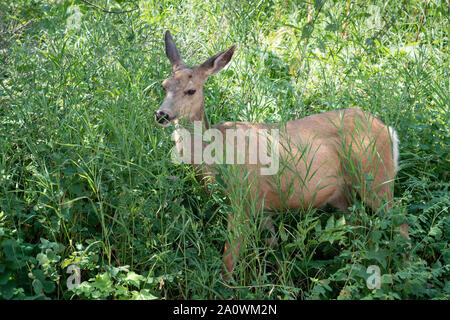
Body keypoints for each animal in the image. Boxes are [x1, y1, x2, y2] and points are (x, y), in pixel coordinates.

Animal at [156, 31, 408, 278]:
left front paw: (226, 285)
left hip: (376, 177)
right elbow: (273, 245)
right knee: (359, 224)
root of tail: (388, 130)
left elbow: (229, 259)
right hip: (342, 192)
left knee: (400, 222)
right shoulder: (263, 206)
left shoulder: (242, 198)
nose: (162, 114)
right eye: (164, 85)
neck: (219, 155)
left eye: (191, 90)